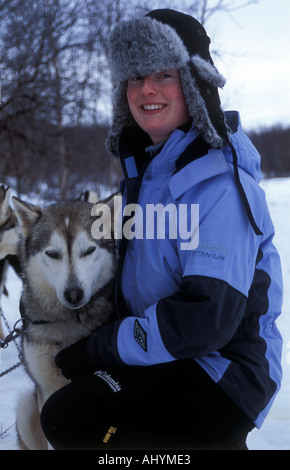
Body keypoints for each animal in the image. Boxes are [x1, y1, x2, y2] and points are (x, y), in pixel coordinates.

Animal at [11, 194, 120, 448]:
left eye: (89, 250)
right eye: (52, 254)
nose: (73, 294)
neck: (67, 324)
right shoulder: (46, 389)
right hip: (26, 408)